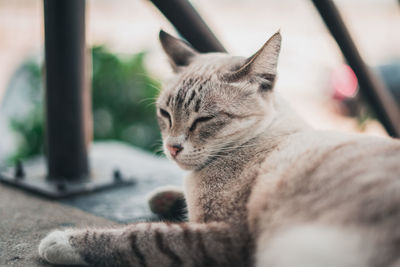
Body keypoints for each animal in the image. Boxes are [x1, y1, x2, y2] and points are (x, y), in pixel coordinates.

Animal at [37, 30, 400, 266]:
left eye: (204, 119)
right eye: (165, 114)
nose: (172, 148)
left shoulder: (225, 237)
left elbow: (143, 236)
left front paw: (63, 242)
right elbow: (171, 203)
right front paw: (165, 197)